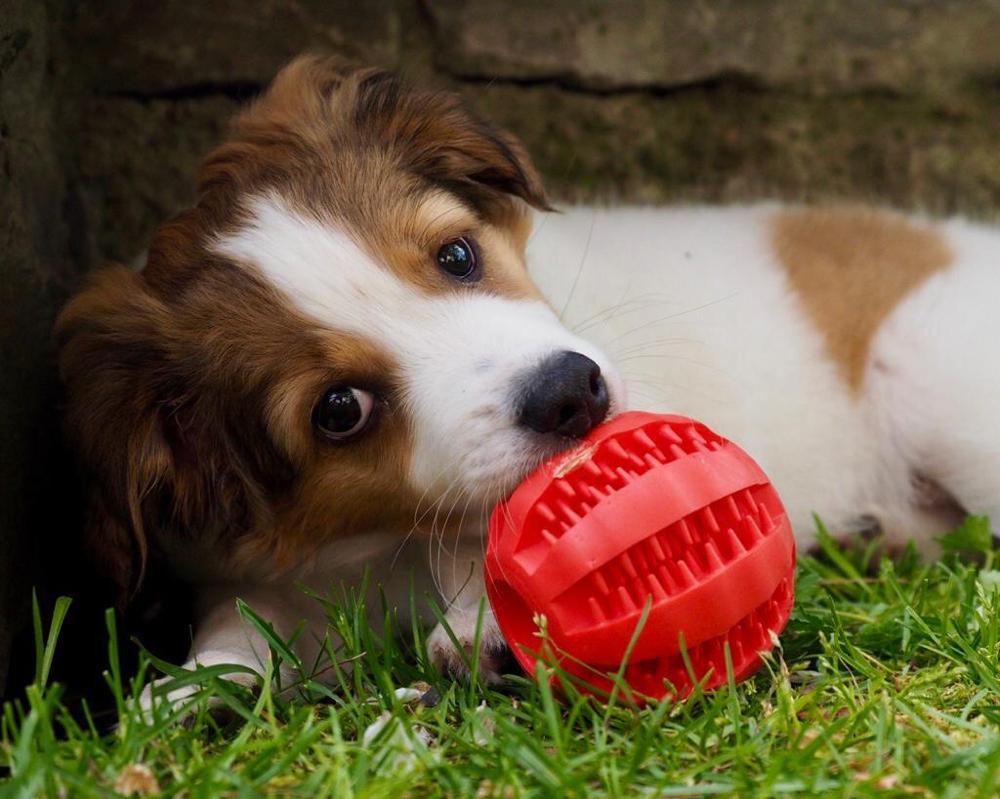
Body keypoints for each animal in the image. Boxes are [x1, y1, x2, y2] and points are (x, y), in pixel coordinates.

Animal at [56, 57, 1000, 708]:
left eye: (457, 254)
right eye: (339, 409)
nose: (571, 391)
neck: (390, 538)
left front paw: (492, 627)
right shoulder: (266, 570)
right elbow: (247, 619)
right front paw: (199, 686)